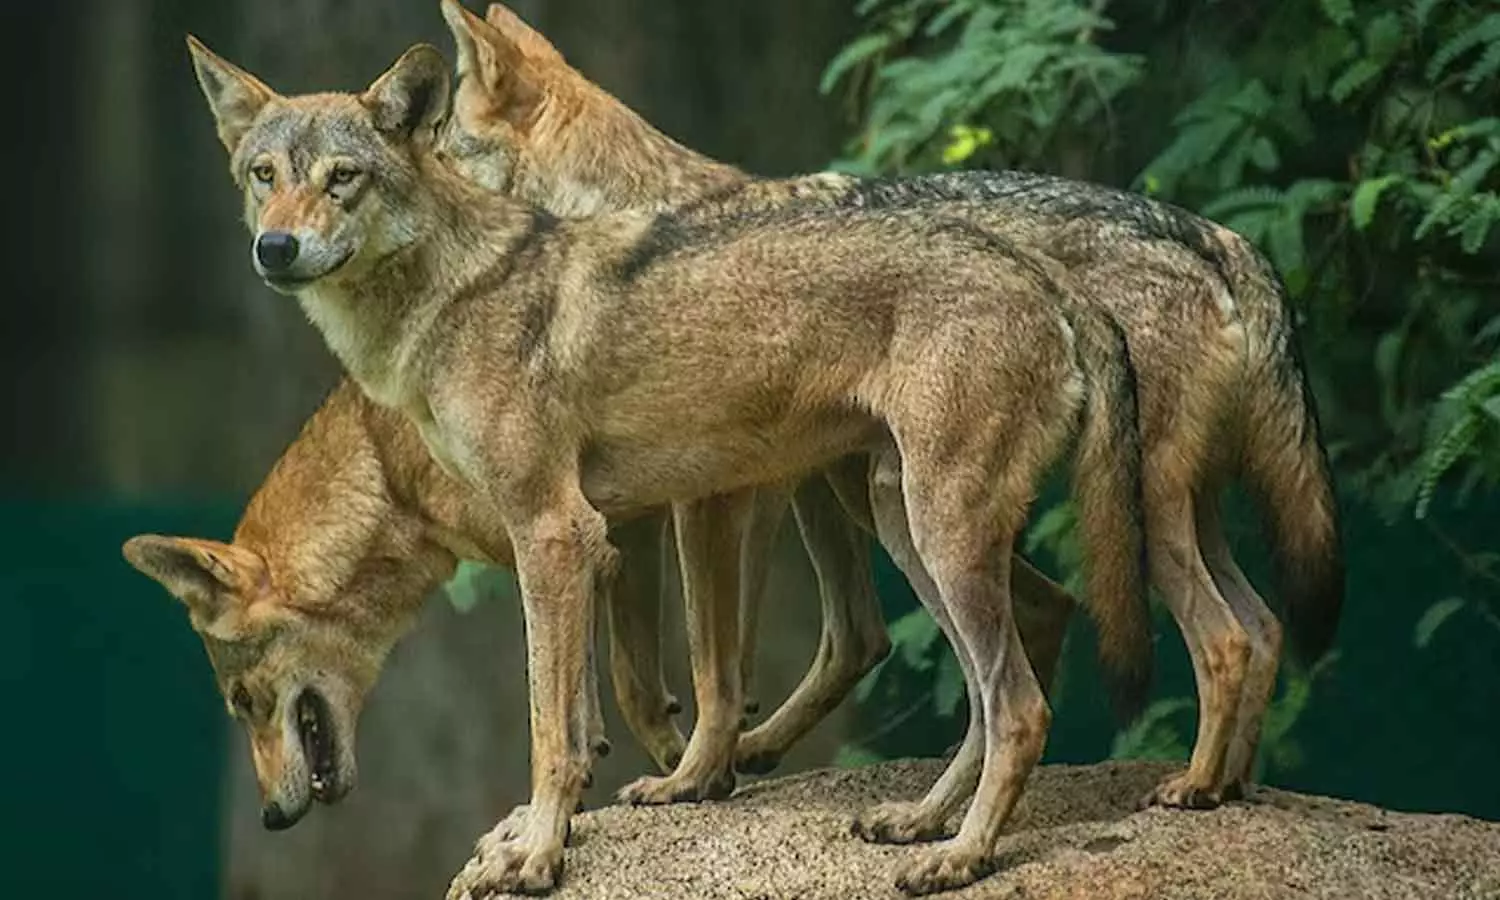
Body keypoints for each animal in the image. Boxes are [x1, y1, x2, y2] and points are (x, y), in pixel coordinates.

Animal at [183, 35, 1148, 896]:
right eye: (264, 177)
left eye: (340, 178)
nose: (275, 249)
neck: (446, 303)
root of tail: (1045, 275)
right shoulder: (593, 542)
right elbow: (589, 717)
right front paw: (555, 834)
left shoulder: (557, 533)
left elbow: (555, 730)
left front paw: (538, 857)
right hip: (903, 526)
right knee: (987, 694)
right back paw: (921, 823)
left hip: (933, 534)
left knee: (1018, 708)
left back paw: (960, 859)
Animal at [444, 0, 1345, 813]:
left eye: (438, 145)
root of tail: (1214, 236)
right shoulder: (649, 507)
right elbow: (636, 676)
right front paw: (662, 761)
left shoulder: (714, 503)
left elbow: (710, 664)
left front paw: (688, 775)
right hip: (910, 496)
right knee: (1254, 626)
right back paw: (1221, 785)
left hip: (1083, 511)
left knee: (1219, 636)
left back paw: (1187, 786)